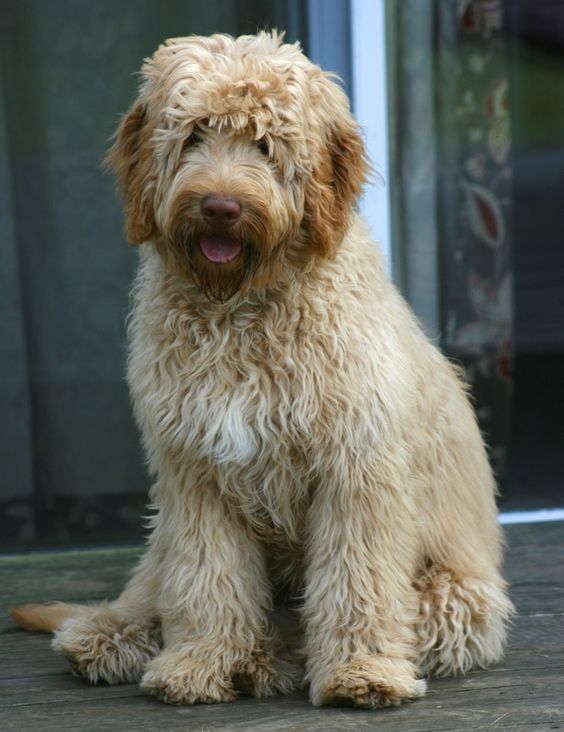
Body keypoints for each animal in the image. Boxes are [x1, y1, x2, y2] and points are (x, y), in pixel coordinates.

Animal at [11, 31, 512, 708]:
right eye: (195, 134)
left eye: (267, 144)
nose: (220, 208)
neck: (241, 309)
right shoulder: (194, 472)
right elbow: (207, 576)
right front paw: (200, 663)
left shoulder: (356, 468)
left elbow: (357, 578)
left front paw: (360, 672)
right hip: (161, 540)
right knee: (152, 589)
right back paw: (119, 635)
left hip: (455, 597)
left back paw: (274, 658)